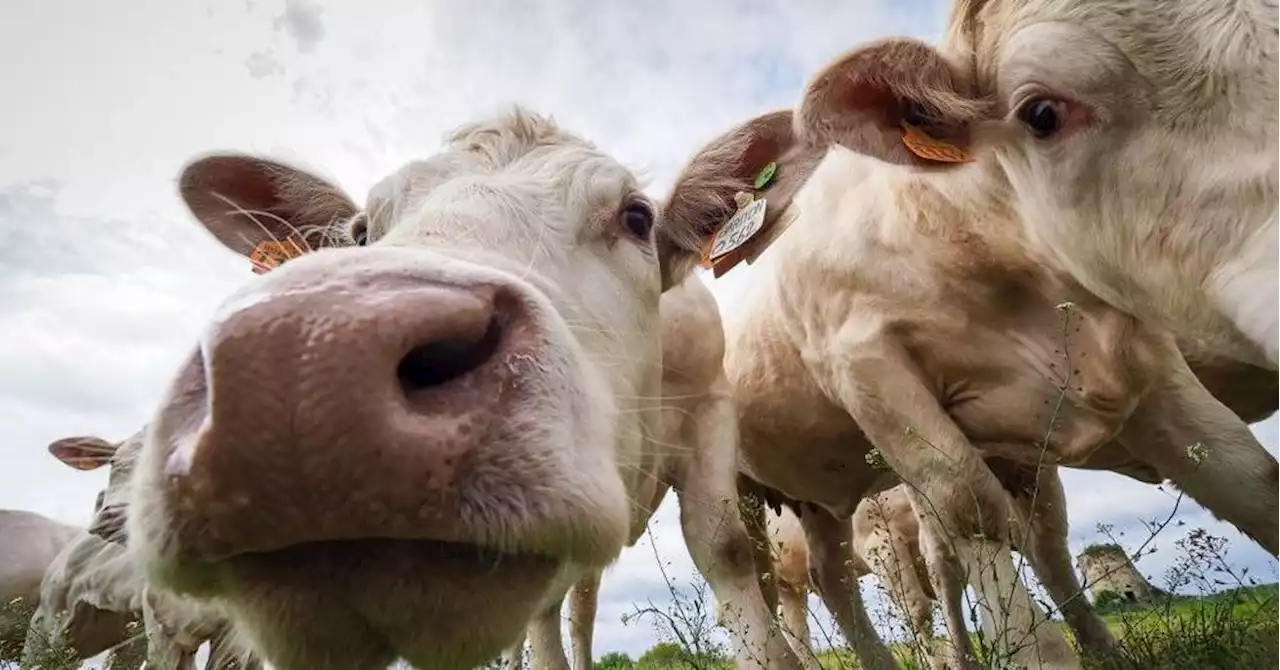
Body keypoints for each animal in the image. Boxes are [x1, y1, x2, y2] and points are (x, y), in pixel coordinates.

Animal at [124, 107, 793, 666]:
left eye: (636, 215)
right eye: (360, 232)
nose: (303, 355)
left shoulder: (711, 406)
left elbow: (725, 548)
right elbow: (546, 616)